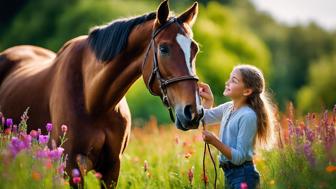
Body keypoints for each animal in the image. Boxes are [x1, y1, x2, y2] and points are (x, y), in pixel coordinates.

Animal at [0, 0, 202, 188]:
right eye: (163, 48)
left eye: (195, 49)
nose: (193, 111)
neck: (94, 100)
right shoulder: (71, 166)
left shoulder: (111, 167)